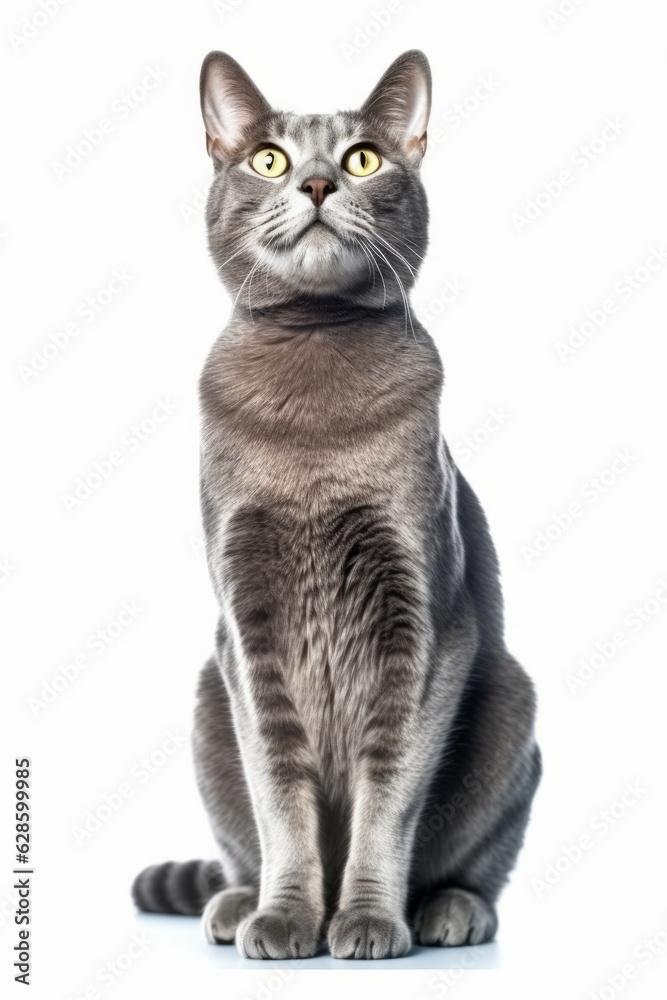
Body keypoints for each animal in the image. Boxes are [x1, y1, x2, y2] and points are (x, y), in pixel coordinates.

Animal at [132, 48, 544, 960]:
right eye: (268, 159)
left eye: (362, 159)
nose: (318, 182)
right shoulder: (246, 629)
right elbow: (278, 794)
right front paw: (286, 917)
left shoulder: (426, 619)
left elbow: (389, 794)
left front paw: (365, 921)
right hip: (207, 702)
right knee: (241, 838)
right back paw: (233, 903)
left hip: (511, 697)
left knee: (479, 863)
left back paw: (450, 910)